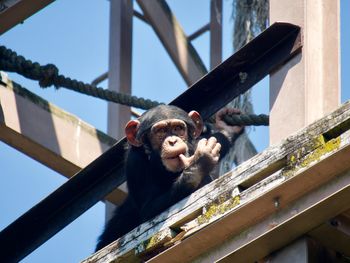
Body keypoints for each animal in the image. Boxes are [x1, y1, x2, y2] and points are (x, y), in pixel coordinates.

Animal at [95, 104, 243, 252]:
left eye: (178, 128)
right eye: (161, 131)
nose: (172, 141)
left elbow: (217, 139)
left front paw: (225, 128)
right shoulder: (134, 162)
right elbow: (149, 209)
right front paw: (200, 162)